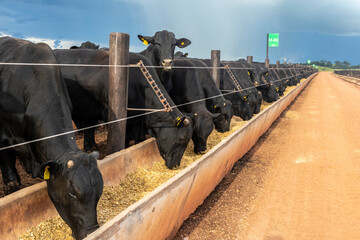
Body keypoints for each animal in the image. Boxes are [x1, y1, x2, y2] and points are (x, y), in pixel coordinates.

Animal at [53, 49, 193, 169]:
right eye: (181, 139)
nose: (176, 165)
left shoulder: (137, 120)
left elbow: (138, 138)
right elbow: (125, 138)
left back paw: (91, 146)